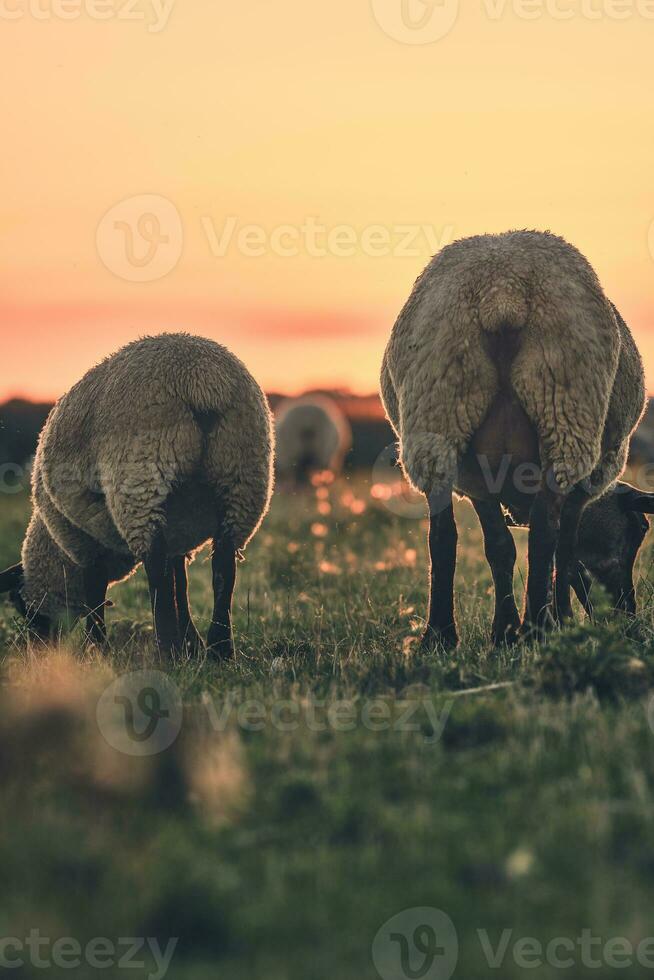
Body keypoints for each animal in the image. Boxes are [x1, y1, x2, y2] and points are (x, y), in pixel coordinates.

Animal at [0, 334, 274, 664]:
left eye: (21, 604)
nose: (36, 649)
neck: (56, 548)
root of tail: (202, 381)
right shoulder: (178, 530)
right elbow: (179, 580)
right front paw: (192, 643)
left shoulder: (81, 538)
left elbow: (96, 591)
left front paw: (95, 647)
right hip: (243, 476)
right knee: (223, 566)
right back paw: (220, 649)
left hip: (141, 477)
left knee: (155, 567)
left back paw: (167, 650)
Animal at [382, 230, 648, 652]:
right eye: (639, 531)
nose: (628, 618)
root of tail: (502, 289)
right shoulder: (581, 489)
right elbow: (564, 553)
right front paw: (561, 620)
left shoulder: (477, 479)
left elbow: (500, 548)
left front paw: (504, 631)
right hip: (564, 415)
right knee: (543, 536)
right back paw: (538, 627)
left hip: (440, 414)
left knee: (443, 536)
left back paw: (443, 635)